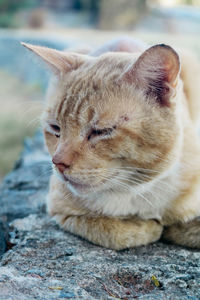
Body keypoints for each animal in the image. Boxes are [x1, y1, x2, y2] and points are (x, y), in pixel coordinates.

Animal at [21, 36, 200, 250]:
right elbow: (114, 232)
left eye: (101, 131)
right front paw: (146, 227)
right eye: (56, 128)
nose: (58, 163)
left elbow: (188, 228)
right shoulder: (60, 210)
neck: (138, 189)